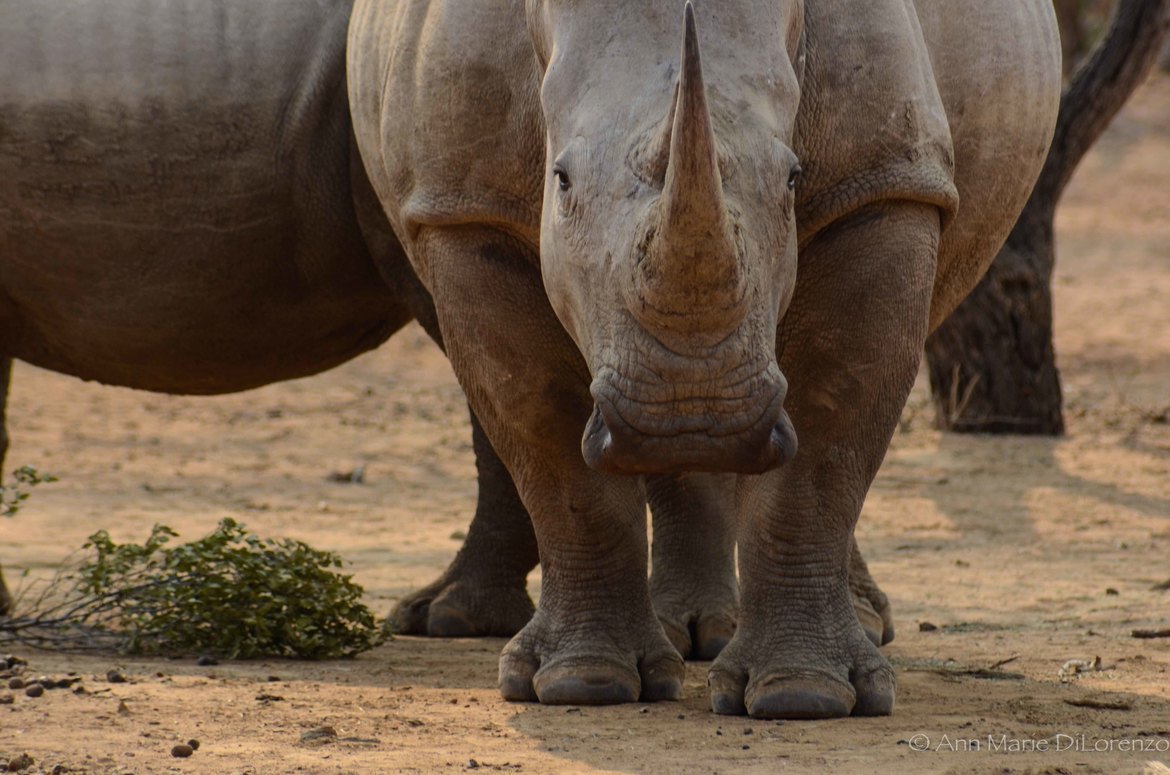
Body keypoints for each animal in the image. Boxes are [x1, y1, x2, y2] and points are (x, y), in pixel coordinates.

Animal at [348, 0, 1061, 718]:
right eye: (562, 180)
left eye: (794, 177)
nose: (693, 418)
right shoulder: (464, 207)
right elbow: (545, 435)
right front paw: (581, 683)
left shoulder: (886, 183)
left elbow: (828, 439)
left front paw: (803, 694)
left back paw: (836, 623)